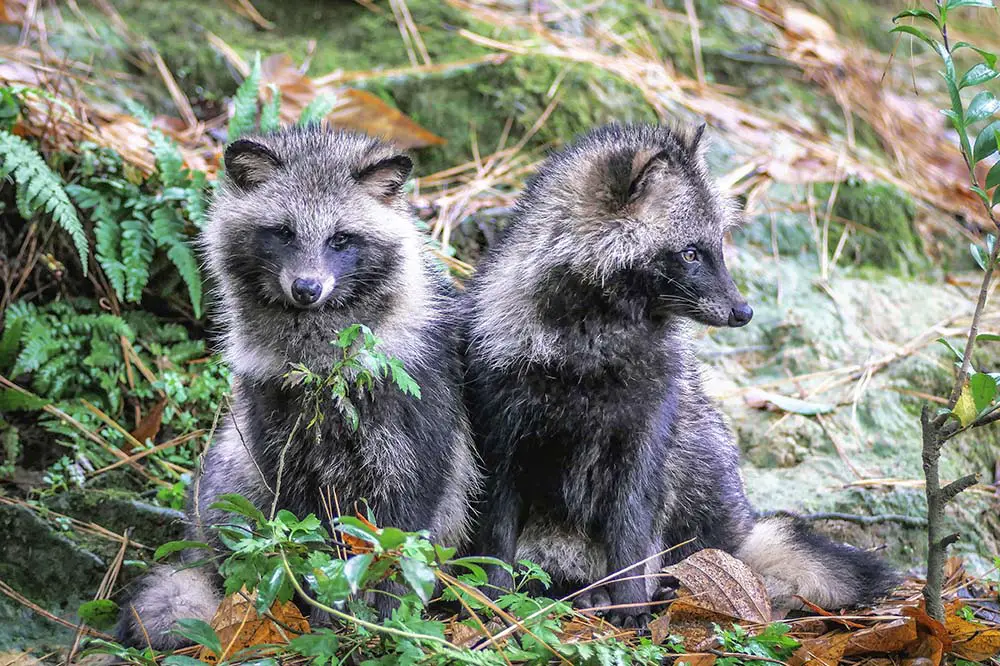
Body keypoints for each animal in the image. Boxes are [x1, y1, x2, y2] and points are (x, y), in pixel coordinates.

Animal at [121, 124, 480, 644]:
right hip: (231, 476)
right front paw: (320, 605)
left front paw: (387, 608)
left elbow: (406, 522)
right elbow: (299, 525)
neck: (319, 345)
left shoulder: (417, 403)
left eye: (341, 238)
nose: (307, 289)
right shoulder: (274, 415)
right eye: (284, 232)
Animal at [460, 122, 900, 624]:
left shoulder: (645, 439)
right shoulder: (503, 437)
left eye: (718, 248)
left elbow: (632, 533)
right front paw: (490, 597)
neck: (593, 345)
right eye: (690, 253)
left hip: (693, 457)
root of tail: (739, 530)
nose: (745, 312)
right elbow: (496, 534)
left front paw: (630, 601)